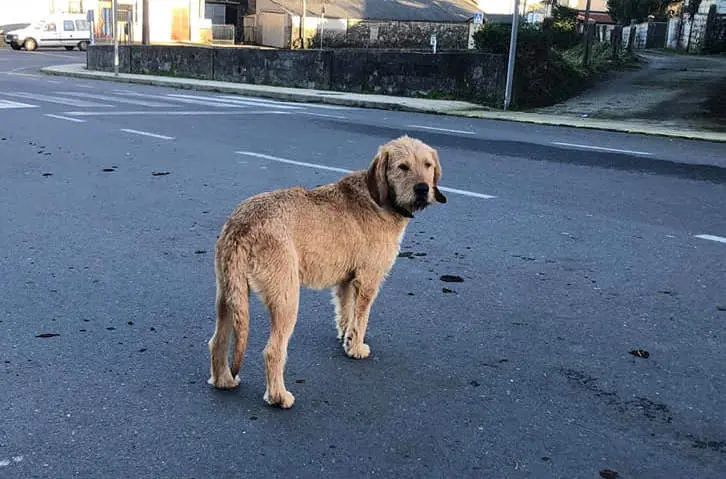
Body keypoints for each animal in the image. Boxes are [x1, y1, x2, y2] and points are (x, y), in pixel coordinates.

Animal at [210, 135, 446, 408]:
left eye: (428, 165)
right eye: (402, 167)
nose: (422, 189)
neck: (380, 198)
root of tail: (241, 226)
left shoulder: (346, 281)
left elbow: (347, 313)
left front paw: (346, 338)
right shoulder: (368, 280)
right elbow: (361, 317)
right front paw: (356, 348)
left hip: (229, 294)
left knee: (218, 340)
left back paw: (223, 380)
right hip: (286, 300)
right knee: (273, 350)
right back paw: (279, 396)